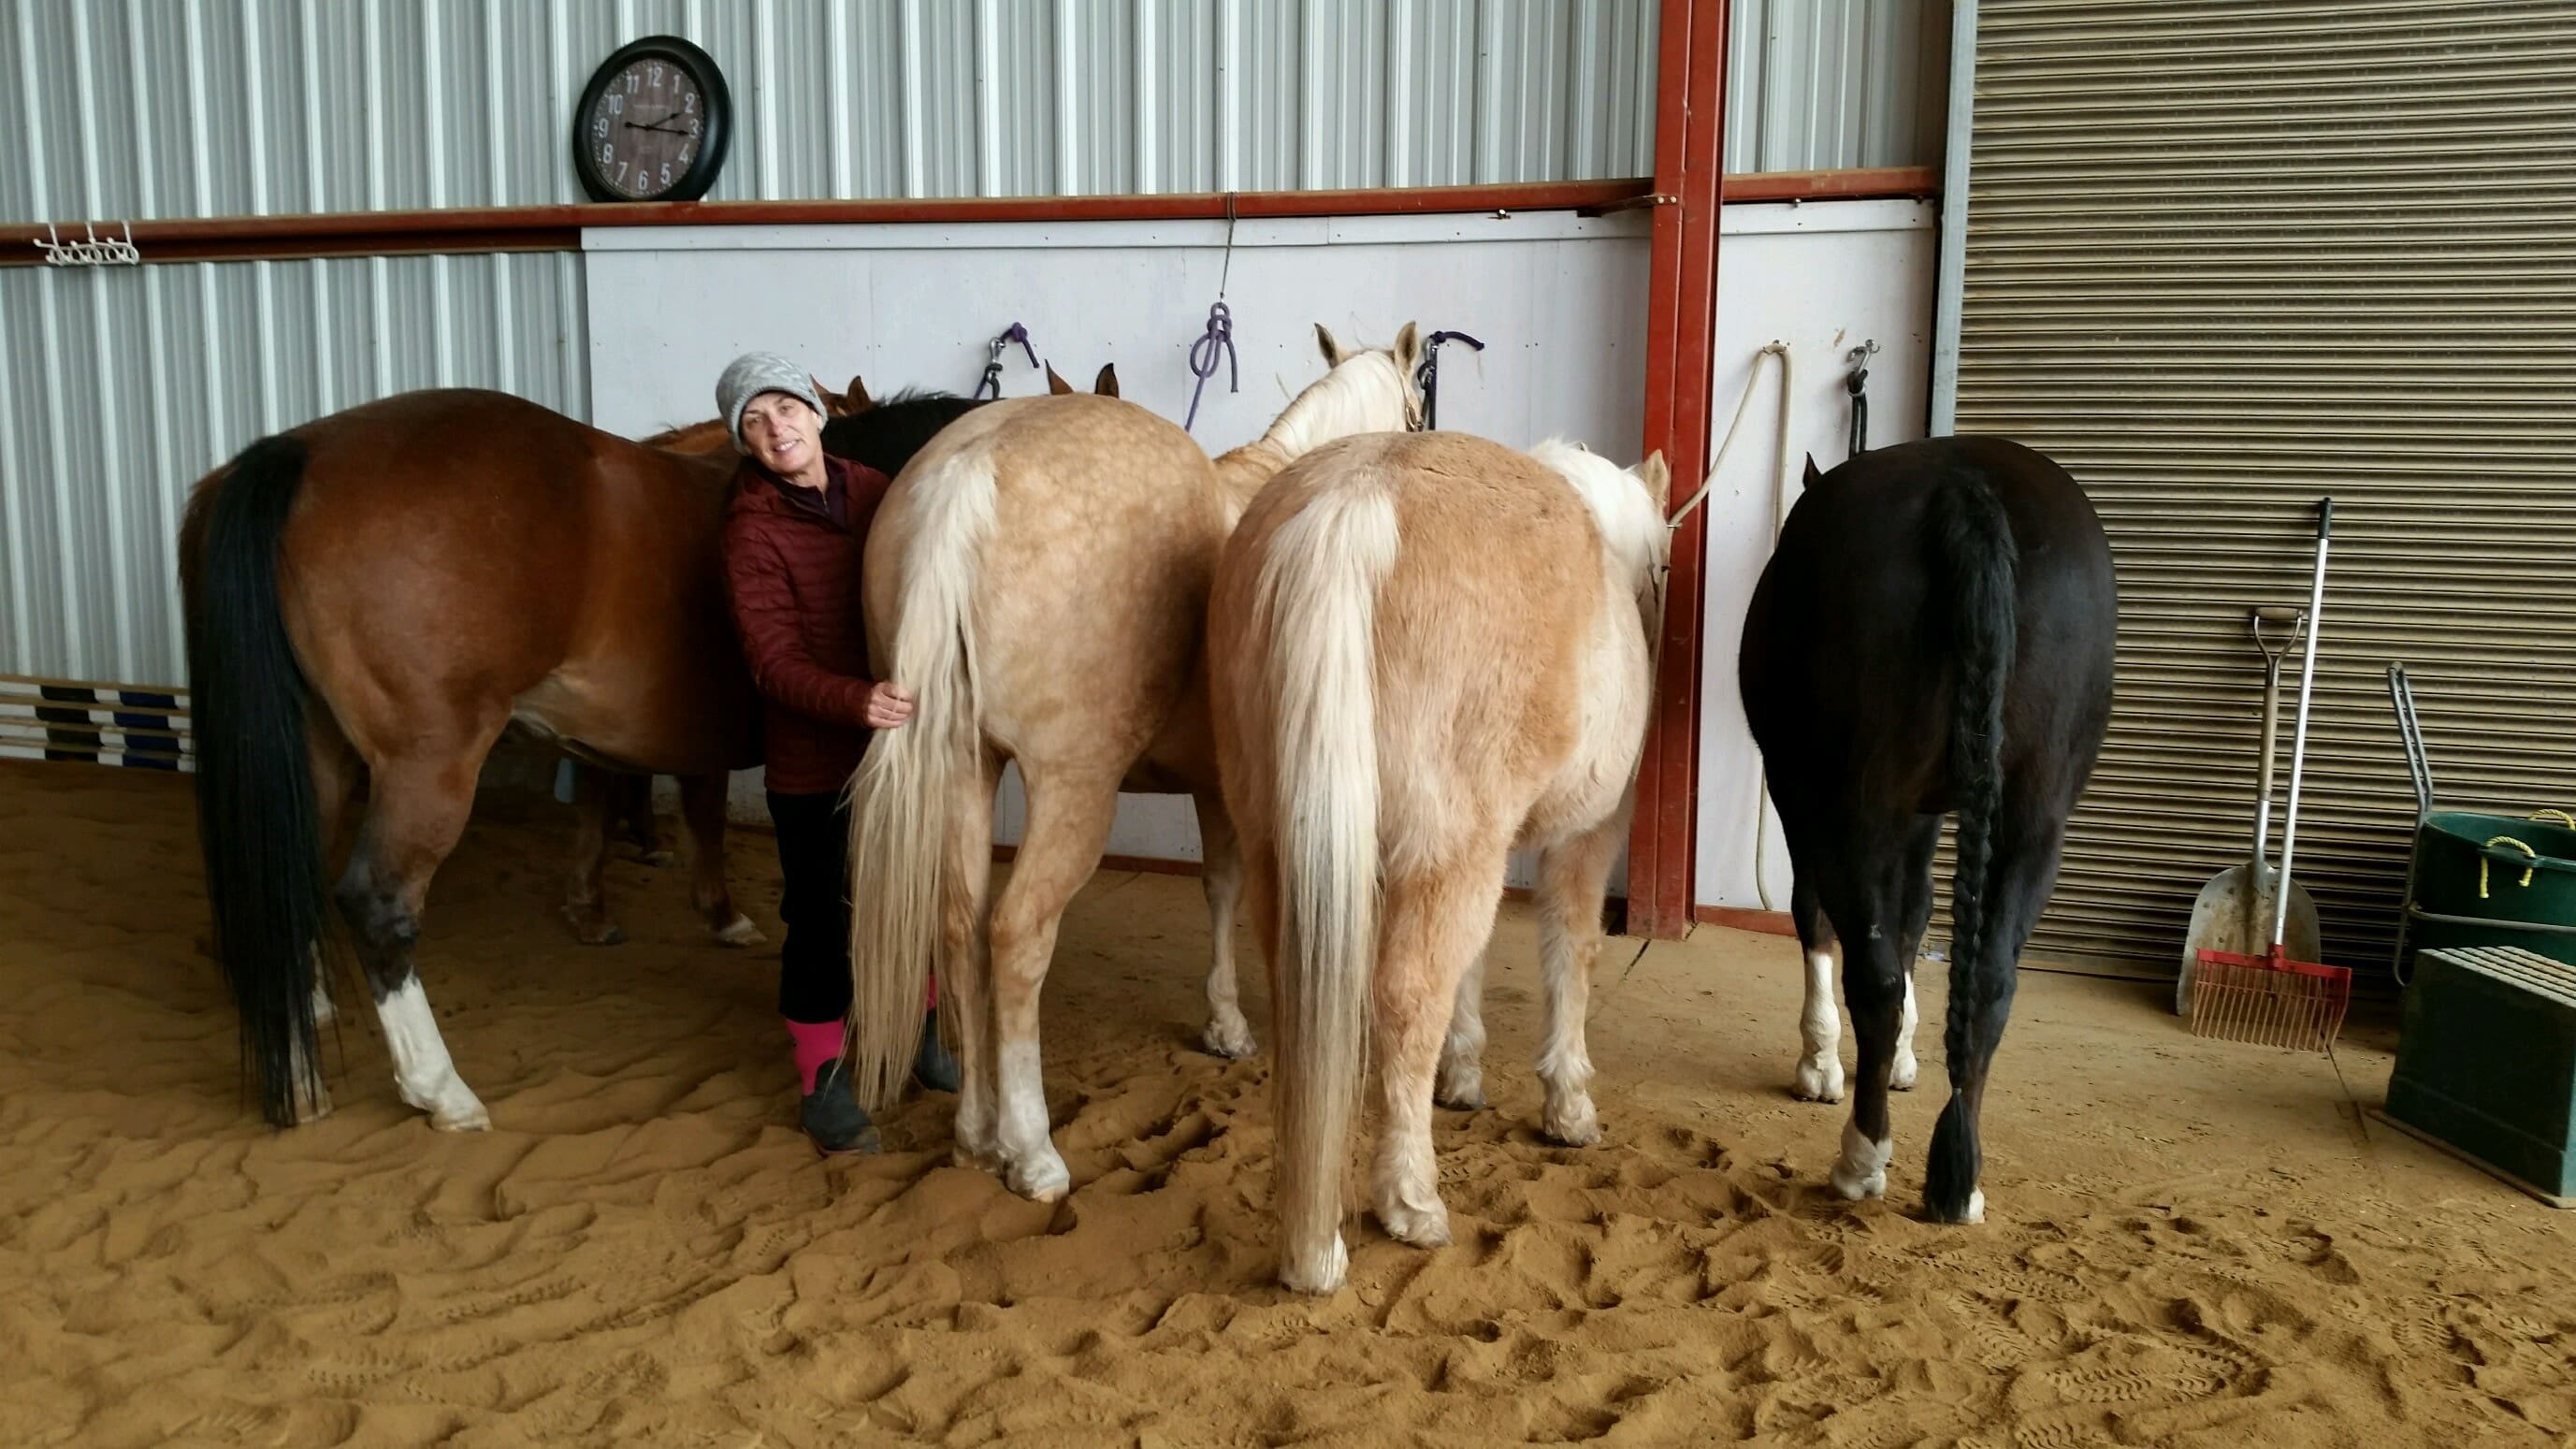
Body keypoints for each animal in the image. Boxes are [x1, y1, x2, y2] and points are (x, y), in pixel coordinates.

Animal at [845, 318, 1432, 1195]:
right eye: (1419, 408)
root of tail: (965, 474)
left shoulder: (1212, 786)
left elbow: (1218, 887)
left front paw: (1222, 1022)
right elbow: (1236, 890)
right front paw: (1235, 1024)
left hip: (964, 767)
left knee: (959, 926)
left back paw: (975, 1133)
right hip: (1073, 789)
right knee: (1017, 935)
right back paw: (1031, 1149)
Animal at [1215, 425, 1679, 1283]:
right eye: (1662, 566)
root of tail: (1357, 498)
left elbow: (1475, 960)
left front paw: (1460, 1076)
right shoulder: (1582, 836)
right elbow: (1571, 952)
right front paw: (1568, 1104)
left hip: (1282, 848)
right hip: (1443, 849)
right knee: (1404, 997)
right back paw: (1410, 1201)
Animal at [1730, 433, 2112, 1222]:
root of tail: (1968, 493)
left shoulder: (1799, 790)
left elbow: (1821, 914)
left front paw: (1819, 1061)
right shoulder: (1928, 809)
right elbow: (1917, 912)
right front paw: (1903, 1056)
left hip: (1858, 802)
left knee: (1872, 970)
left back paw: (1861, 1158)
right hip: (2036, 813)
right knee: (1992, 976)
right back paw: (1960, 1180)